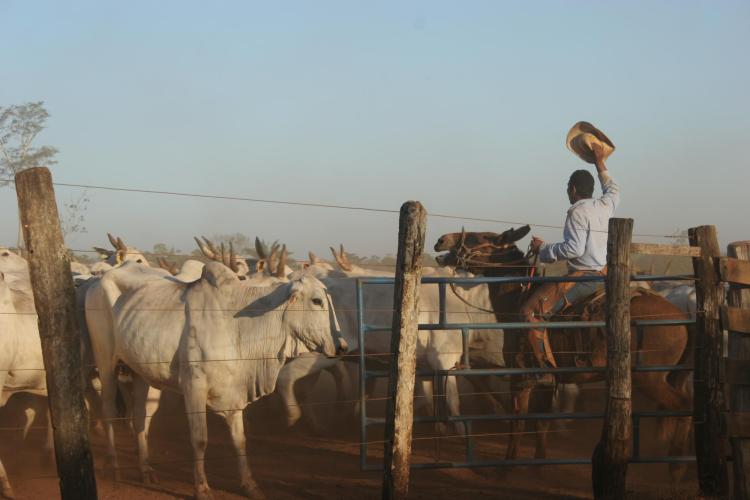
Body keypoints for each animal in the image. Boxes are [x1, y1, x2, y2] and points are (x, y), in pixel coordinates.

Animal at [89, 260, 346, 498]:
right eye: (317, 301)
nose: (342, 346)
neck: (238, 325)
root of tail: (102, 277)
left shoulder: (234, 390)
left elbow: (239, 439)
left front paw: (250, 485)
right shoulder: (194, 386)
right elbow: (199, 439)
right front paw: (201, 488)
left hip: (140, 371)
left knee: (140, 418)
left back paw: (146, 469)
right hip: (105, 361)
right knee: (108, 408)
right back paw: (114, 466)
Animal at [434, 226, 692, 480]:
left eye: (479, 237)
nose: (441, 240)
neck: (516, 300)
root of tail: (681, 316)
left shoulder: (520, 378)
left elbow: (518, 423)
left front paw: (505, 468)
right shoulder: (547, 382)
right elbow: (541, 422)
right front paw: (538, 465)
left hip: (649, 377)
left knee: (683, 405)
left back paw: (677, 466)